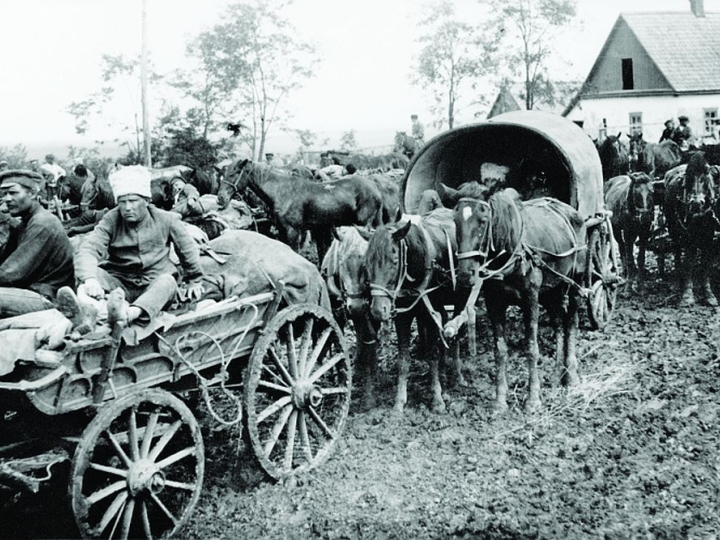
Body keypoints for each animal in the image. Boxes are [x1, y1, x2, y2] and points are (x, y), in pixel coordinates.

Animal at [218, 158, 386, 264]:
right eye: (223, 174)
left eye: (234, 173)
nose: (220, 198)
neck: (282, 191)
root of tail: (375, 187)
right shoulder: (282, 230)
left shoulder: (293, 230)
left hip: (363, 226)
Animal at [362, 208, 464, 414]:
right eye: (367, 263)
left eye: (394, 261)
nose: (377, 310)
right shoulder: (403, 316)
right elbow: (403, 360)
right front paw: (399, 402)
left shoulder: (430, 314)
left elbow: (432, 356)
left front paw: (437, 399)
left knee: (456, 333)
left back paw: (457, 377)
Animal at [452, 189, 588, 414]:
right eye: (455, 220)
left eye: (483, 220)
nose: (464, 274)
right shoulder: (494, 302)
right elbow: (500, 350)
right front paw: (500, 401)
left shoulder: (530, 298)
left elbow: (531, 348)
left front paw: (533, 400)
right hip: (552, 289)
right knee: (558, 325)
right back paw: (556, 376)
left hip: (576, 282)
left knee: (571, 324)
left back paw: (571, 377)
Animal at [664, 152, 720, 306]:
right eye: (687, 178)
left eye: (706, 175)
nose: (696, 203)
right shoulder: (689, 236)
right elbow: (689, 262)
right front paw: (687, 295)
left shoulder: (709, 236)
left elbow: (705, 264)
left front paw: (709, 294)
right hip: (672, 227)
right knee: (677, 250)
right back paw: (678, 280)